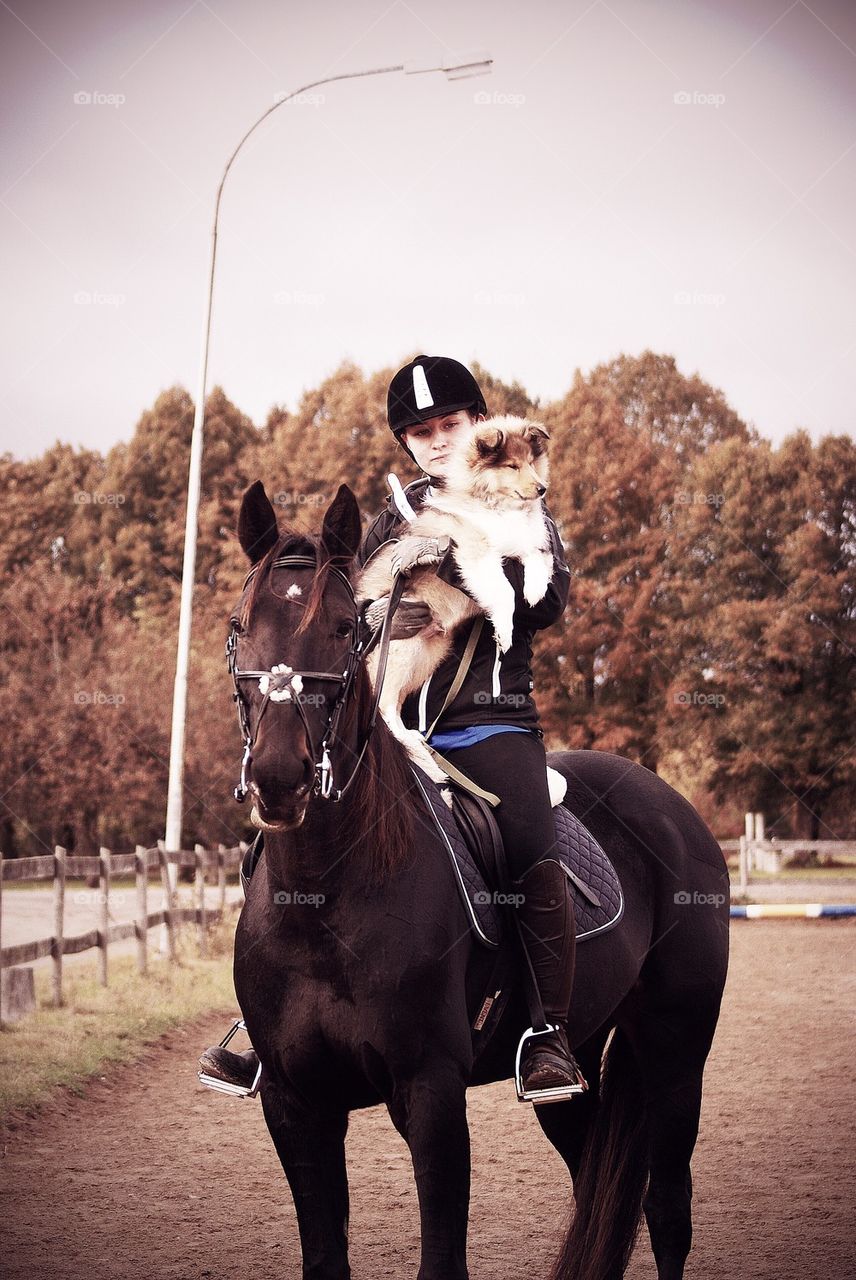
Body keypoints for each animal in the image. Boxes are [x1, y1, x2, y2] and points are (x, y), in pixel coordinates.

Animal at [225, 481, 726, 1280]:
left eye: (344, 627)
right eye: (241, 626)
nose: (279, 777)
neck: (326, 901)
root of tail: (675, 807)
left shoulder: (431, 1095)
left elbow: (443, 1259)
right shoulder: (297, 1104)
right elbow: (325, 1256)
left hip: (676, 1052)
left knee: (669, 1210)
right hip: (583, 1062)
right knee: (595, 1185)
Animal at [355, 417, 550, 778]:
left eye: (532, 462)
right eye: (511, 466)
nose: (542, 489)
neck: (495, 506)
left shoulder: (522, 538)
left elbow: (537, 554)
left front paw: (535, 590)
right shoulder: (473, 552)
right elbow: (502, 589)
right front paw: (505, 630)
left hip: (426, 654)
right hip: (400, 648)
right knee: (384, 707)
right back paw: (417, 749)